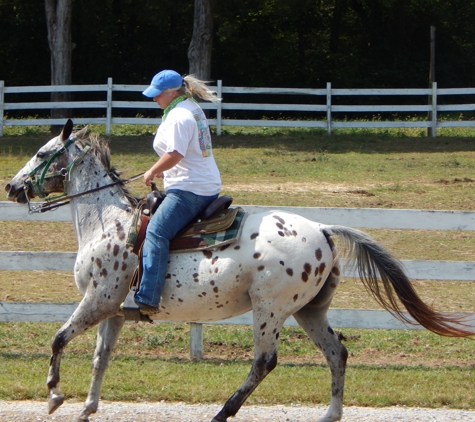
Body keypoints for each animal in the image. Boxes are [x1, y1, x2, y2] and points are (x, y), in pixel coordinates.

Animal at [4, 119, 475, 422]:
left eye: (42, 152)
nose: (12, 187)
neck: (108, 222)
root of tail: (323, 229)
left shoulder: (98, 299)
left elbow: (58, 338)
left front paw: (54, 394)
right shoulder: (113, 311)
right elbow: (101, 359)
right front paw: (87, 408)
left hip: (269, 309)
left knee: (264, 362)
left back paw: (222, 412)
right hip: (309, 311)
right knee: (336, 352)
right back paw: (329, 414)